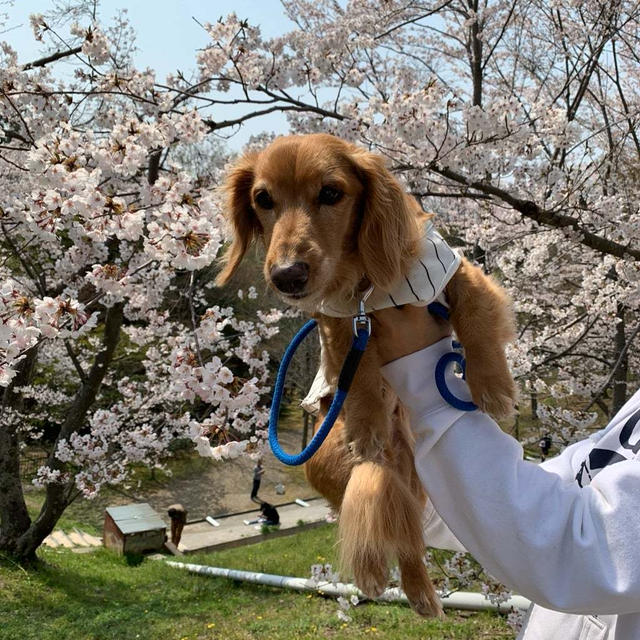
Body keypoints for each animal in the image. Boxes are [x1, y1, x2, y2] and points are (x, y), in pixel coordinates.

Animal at [215, 134, 516, 616]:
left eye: (331, 193)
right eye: (262, 199)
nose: (287, 276)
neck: (366, 282)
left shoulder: (452, 270)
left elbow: (473, 316)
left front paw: (492, 386)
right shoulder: (339, 319)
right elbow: (356, 375)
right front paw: (367, 422)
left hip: (413, 477)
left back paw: (418, 593)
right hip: (346, 463)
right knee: (397, 524)